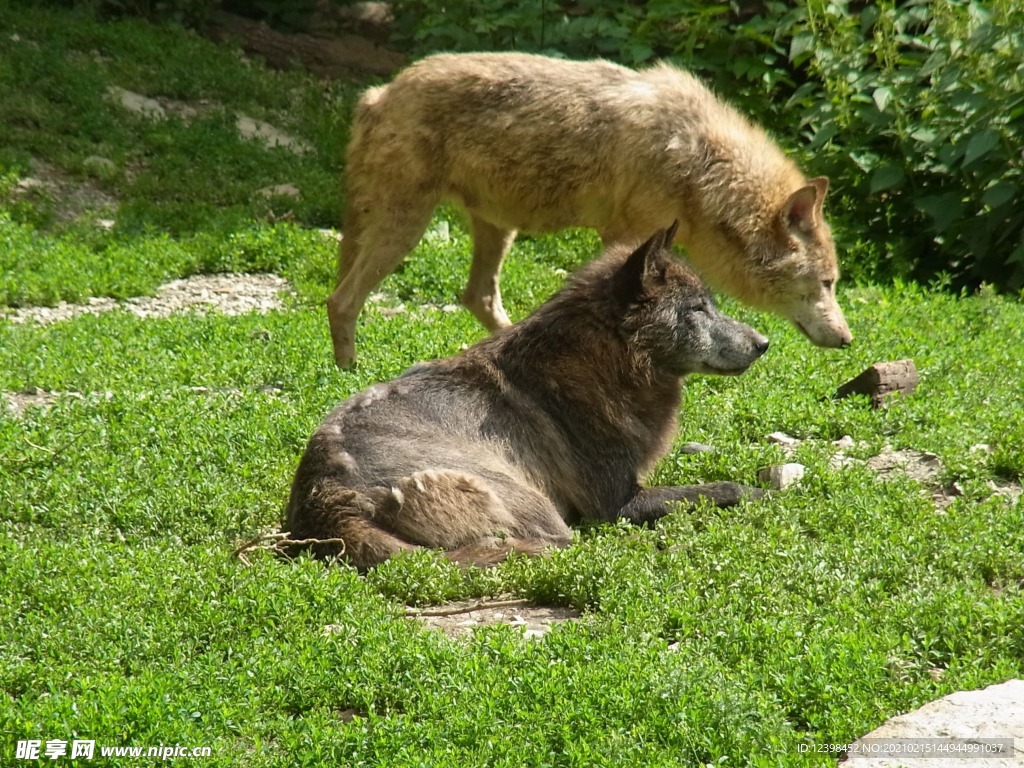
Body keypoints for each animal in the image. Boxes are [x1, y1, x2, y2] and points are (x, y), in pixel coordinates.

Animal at [288, 225, 770, 569]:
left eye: (710, 303)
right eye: (697, 309)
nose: (764, 343)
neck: (607, 357)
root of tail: (325, 494)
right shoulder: (616, 504)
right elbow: (722, 487)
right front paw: (758, 493)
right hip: (532, 502)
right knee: (559, 544)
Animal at [325, 51, 847, 370]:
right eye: (827, 283)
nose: (848, 339)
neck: (700, 165)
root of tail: (378, 93)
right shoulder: (626, 239)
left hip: (492, 228)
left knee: (476, 297)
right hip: (408, 227)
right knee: (341, 300)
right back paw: (349, 374)